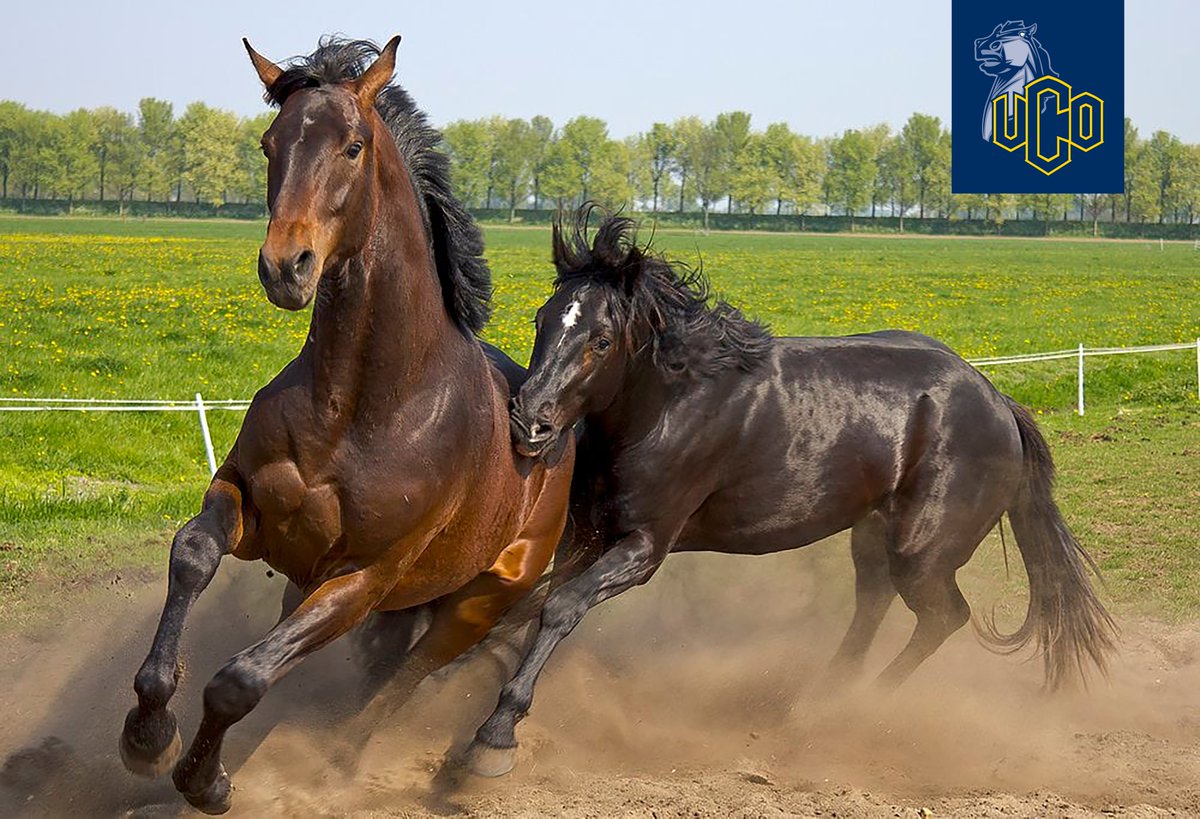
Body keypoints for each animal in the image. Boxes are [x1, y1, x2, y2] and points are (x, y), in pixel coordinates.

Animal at [119, 36, 573, 811]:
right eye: (270, 143)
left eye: (354, 147)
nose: (286, 266)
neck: (361, 406)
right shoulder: (251, 508)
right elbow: (193, 554)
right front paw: (148, 735)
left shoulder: (362, 579)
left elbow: (240, 678)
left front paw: (206, 780)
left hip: (477, 602)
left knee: (398, 688)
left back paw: (368, 762)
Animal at [463, 207, 1118, 773]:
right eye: (542, 320)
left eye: (600, 340)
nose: (528, 422)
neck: (667, 409)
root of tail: (999, 402)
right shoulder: (586, 535)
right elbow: (523, 604)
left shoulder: (643, 547)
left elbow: (559, 608)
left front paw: (494, 734)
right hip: (872, 536)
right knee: (872, 605)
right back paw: (814, 702)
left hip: (921, 553)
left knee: (942, 617)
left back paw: (851, 711)